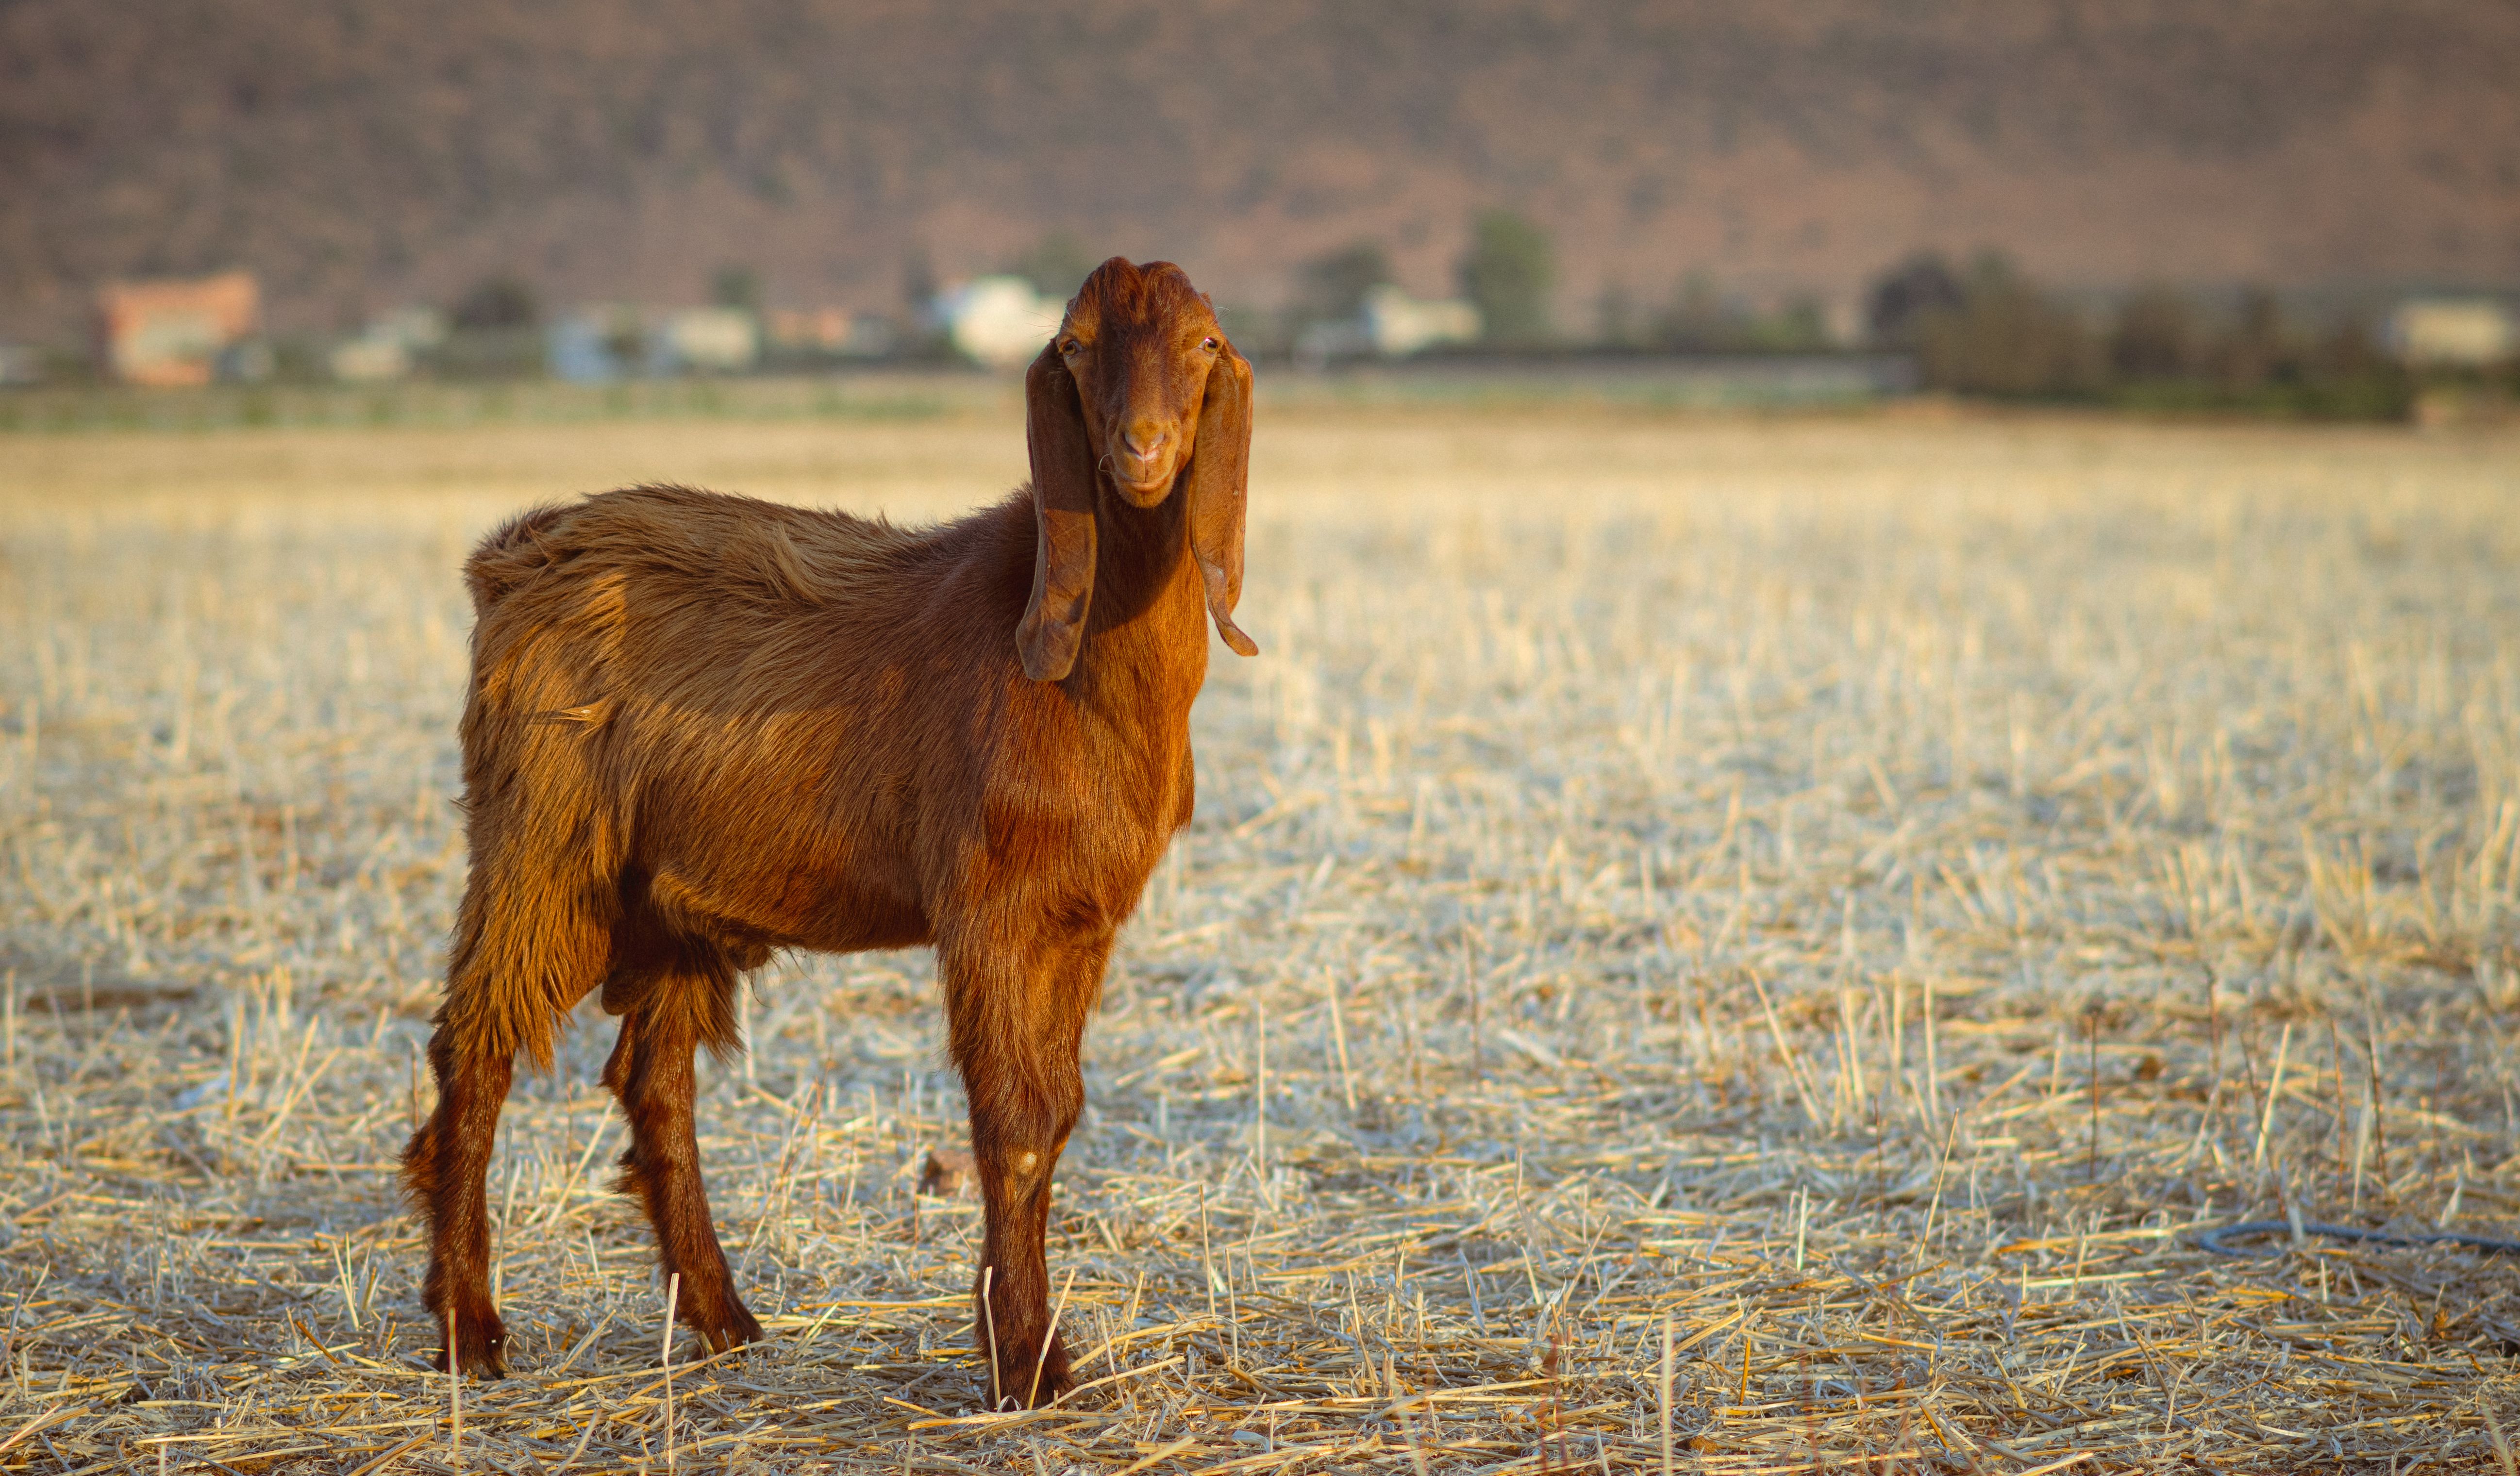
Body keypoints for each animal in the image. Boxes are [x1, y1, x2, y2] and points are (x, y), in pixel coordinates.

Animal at [399, 258, 1256, 1408]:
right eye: (1075, 346)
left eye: (1205, 343)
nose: (1143, 450)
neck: (1066, 665)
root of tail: (509, 562)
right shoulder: (991, 907)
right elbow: (1013, 1124)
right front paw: (1024, 1362)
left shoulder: (1082, 920)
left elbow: (1057, 1114)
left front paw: (1031, 1347)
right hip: (545, 843)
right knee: (478, 1042)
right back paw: (471, 1329)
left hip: (667, 897)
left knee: (652, 1081)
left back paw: (722, 1318)